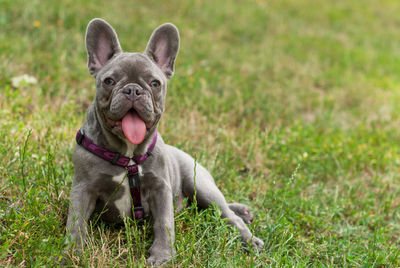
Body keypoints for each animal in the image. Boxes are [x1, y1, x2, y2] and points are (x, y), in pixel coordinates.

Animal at [65, 18, 264, 266]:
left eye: (155, 83)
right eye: (109, 81)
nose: (133, 89)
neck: (128, 156)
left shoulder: (160, 187)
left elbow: (164, 224)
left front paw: (162, 256)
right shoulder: (83, 189)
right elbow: (76, 223)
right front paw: (72, 254)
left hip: (200, 184)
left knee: (225, 212)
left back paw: (248, 237)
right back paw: (243, 212)